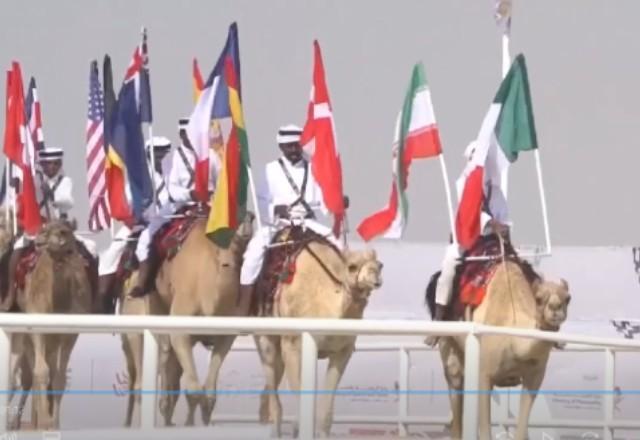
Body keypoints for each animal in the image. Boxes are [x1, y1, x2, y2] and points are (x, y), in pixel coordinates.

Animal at [152, 213, 255, 426]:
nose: (248, 220)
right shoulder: (180, 328)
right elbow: (193, 391)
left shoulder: (226, 337)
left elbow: (209, 396)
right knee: (165, 358)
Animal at [255, 242, 382, 438]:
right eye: (351, 266)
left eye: (380, 265)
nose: (376, 278)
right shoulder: (292, 345)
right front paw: (298, 428)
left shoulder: (343, 351)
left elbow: (325, 409)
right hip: (267, 341)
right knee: (273, 390)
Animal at [432, 260, 572, 438]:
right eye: (539, 299)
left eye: (568, 298)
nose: (555, 308)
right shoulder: (484, 373)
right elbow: (485, 430)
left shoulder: (535, 377)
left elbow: (522, 427)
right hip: (448, 342)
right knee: (455, 379)